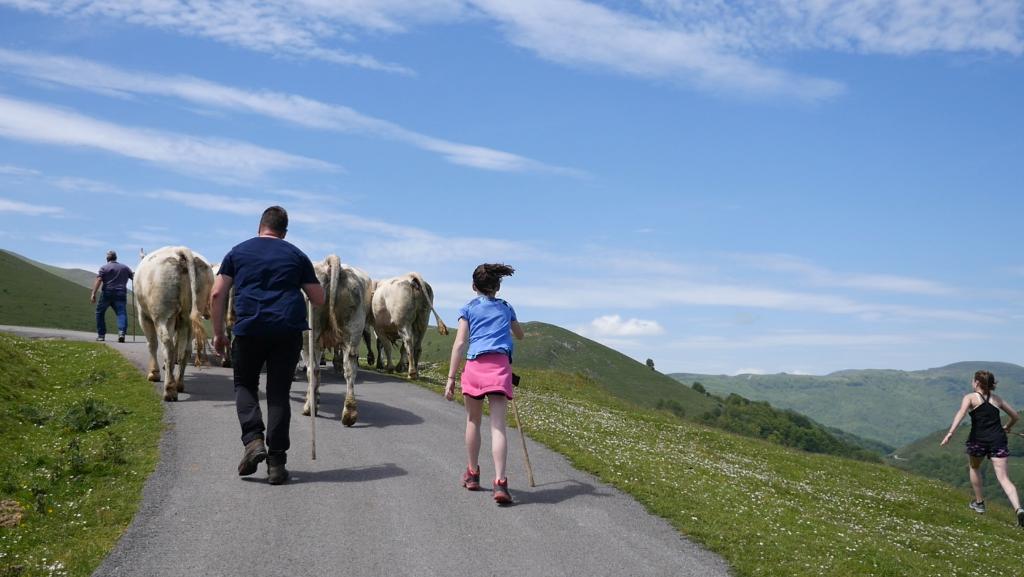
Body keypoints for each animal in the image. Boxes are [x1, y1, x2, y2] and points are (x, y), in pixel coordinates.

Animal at [301, 255, 374, 426]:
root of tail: (329, 262)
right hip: (353, 329)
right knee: (350, 369)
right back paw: (349, 414)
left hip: (309, 333)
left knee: (312, 370)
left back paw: (309, 408)